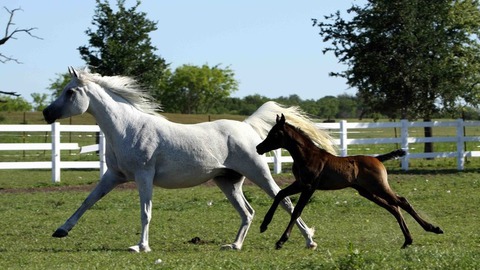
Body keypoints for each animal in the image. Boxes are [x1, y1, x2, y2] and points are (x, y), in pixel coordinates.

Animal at [43, 66, 338, 252]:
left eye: (70, 92)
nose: (47, 113)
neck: (127, 128)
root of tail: (246, 126)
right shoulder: (114, 175)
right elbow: (88, 200)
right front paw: (61, 230)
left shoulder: (143, 176)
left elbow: (145, 211)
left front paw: (141, 246)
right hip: (228, 182)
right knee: (247, 212)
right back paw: (234, 245)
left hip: (258, 174)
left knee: (285, 202)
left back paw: (309, 241)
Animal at [256, 114, 444, 249]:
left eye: (274, 133)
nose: (258, 148)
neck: (307, 156)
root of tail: (377, 159)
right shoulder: (300, 183)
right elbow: (280, 194)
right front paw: (264, 225)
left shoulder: (309, 187)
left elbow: (296, 211)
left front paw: (281, 241)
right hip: (368, 191)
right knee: (393, 207)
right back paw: (407, 240)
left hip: (379, 187)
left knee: (402, 202)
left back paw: (433, 228)